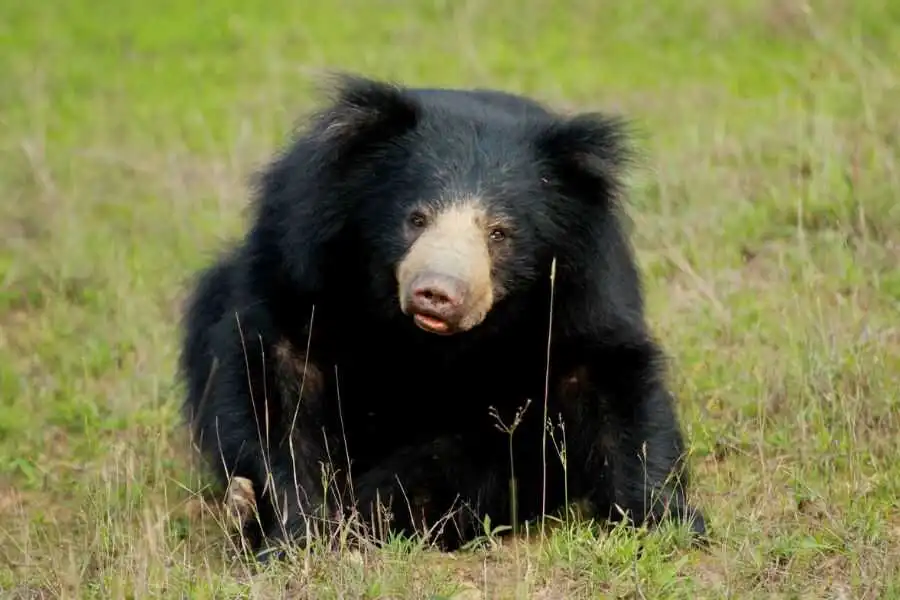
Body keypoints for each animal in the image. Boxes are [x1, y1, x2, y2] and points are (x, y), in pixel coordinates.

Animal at [178, 74, 707, 560]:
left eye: (499, 233)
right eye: (416, 218)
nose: (436, 294)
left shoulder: (584, 286)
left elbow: (607, 384)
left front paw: (666, 523)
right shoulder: (301, 255)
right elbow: (281, 386)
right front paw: (295, 532)